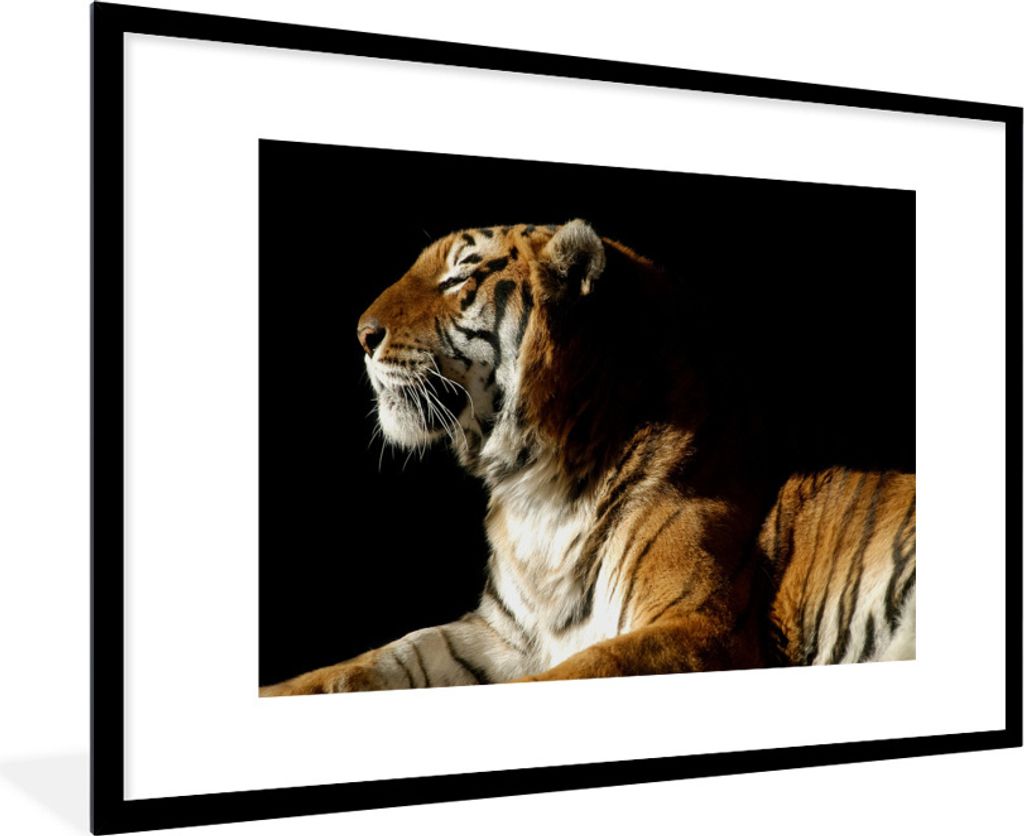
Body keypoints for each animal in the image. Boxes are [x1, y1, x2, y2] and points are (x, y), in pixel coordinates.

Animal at [260, 220, 916, 695]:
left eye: (458, 277)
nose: (362, 335)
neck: (536, 488)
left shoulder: (701, 625)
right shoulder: (501, 634)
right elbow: (379, 659)